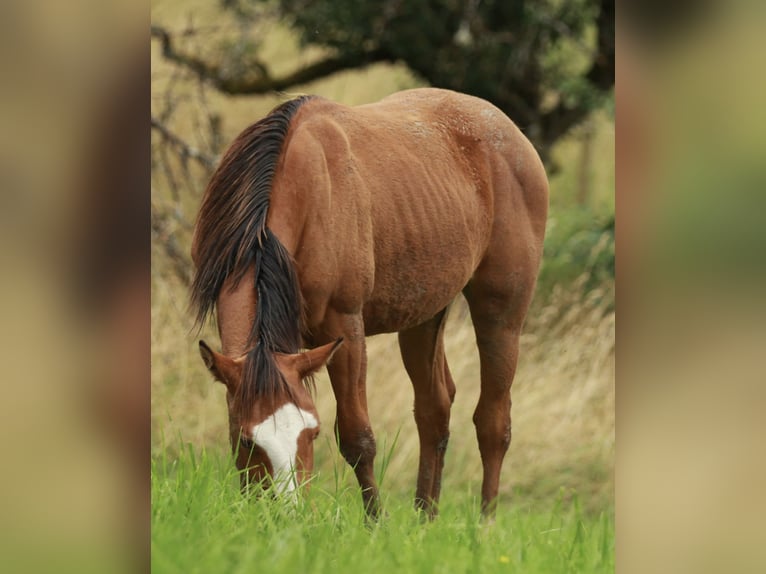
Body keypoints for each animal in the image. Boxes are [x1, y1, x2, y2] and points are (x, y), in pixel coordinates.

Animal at [192, 88, 552, 520]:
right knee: (434, 409)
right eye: (247, 440)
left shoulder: (344, 329)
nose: (287, 516)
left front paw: (374, 523)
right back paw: (424, 520)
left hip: (501, 316)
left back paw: (484, 525)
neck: (305, 186)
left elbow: (357, 437)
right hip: (423, 316)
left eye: (312, 432)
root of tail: (511, 134)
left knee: (493, 423)